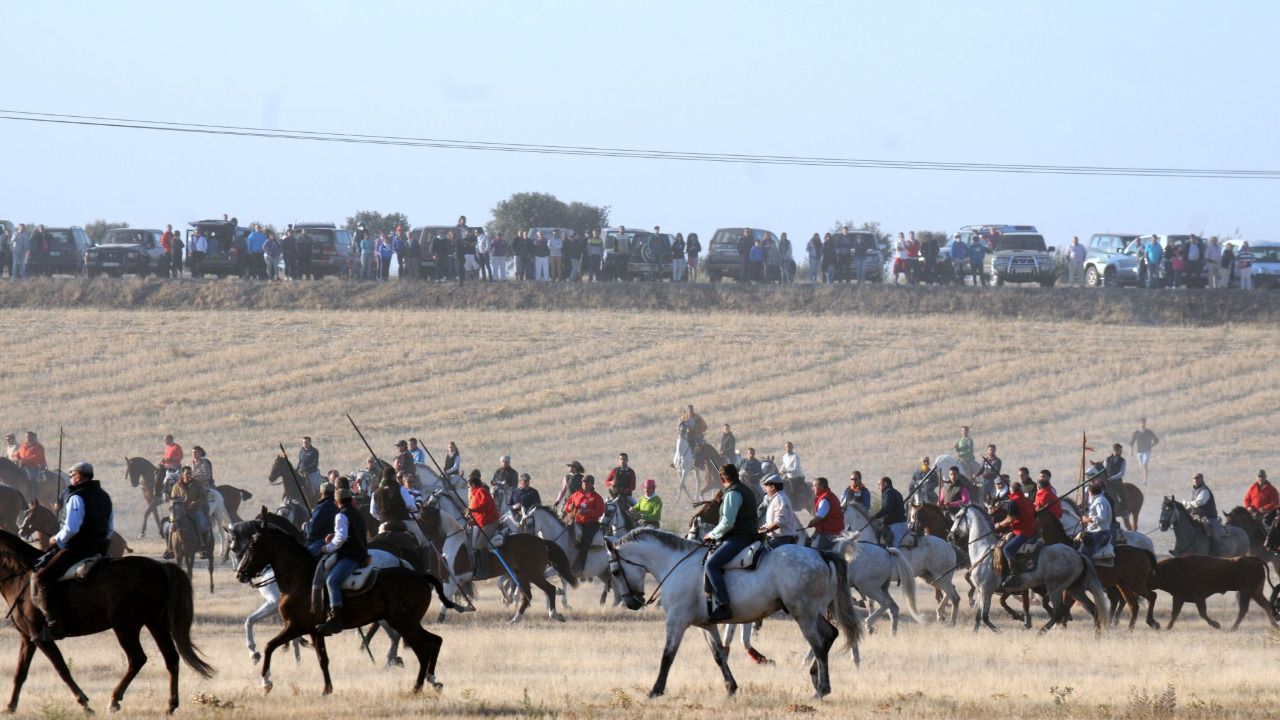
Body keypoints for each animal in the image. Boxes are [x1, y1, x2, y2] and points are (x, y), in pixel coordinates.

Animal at [0, 525, 213, 712]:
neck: (20, 575)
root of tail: (160, 567)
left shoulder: (41, 637)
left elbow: (62, 669)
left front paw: (85, 704)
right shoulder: (28, 638)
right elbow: (21, 672)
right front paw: (10, 707)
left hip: (126, 627)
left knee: (137, 659)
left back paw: (114, 700)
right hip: (155, 624)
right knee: (171, 658)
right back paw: (170, 705)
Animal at [232, 507, 458, 691]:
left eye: (252, 545)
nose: (240, 573)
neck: (299, 579)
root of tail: (418, 575)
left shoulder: (295, 624)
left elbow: (269, 644)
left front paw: (265, 679)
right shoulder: (313, 630)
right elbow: (322, 659)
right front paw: (326, 689)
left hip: (404, 622)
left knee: (421, 649)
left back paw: (415, 685)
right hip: (407, 622)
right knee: (433, 642)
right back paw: (431, 679)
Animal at [601, 525, 860, 696]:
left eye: (615, 571)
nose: (632, 603)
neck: (677, 564)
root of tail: (820, 553)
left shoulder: (676, 621)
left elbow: (668, 655)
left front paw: (655, 690)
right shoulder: (706, 625)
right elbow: (718, 655)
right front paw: (731, 687)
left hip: (803, 614)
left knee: (818, 644)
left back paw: (822, 689)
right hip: (813, 612)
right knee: (829, 636)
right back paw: (816, 679)